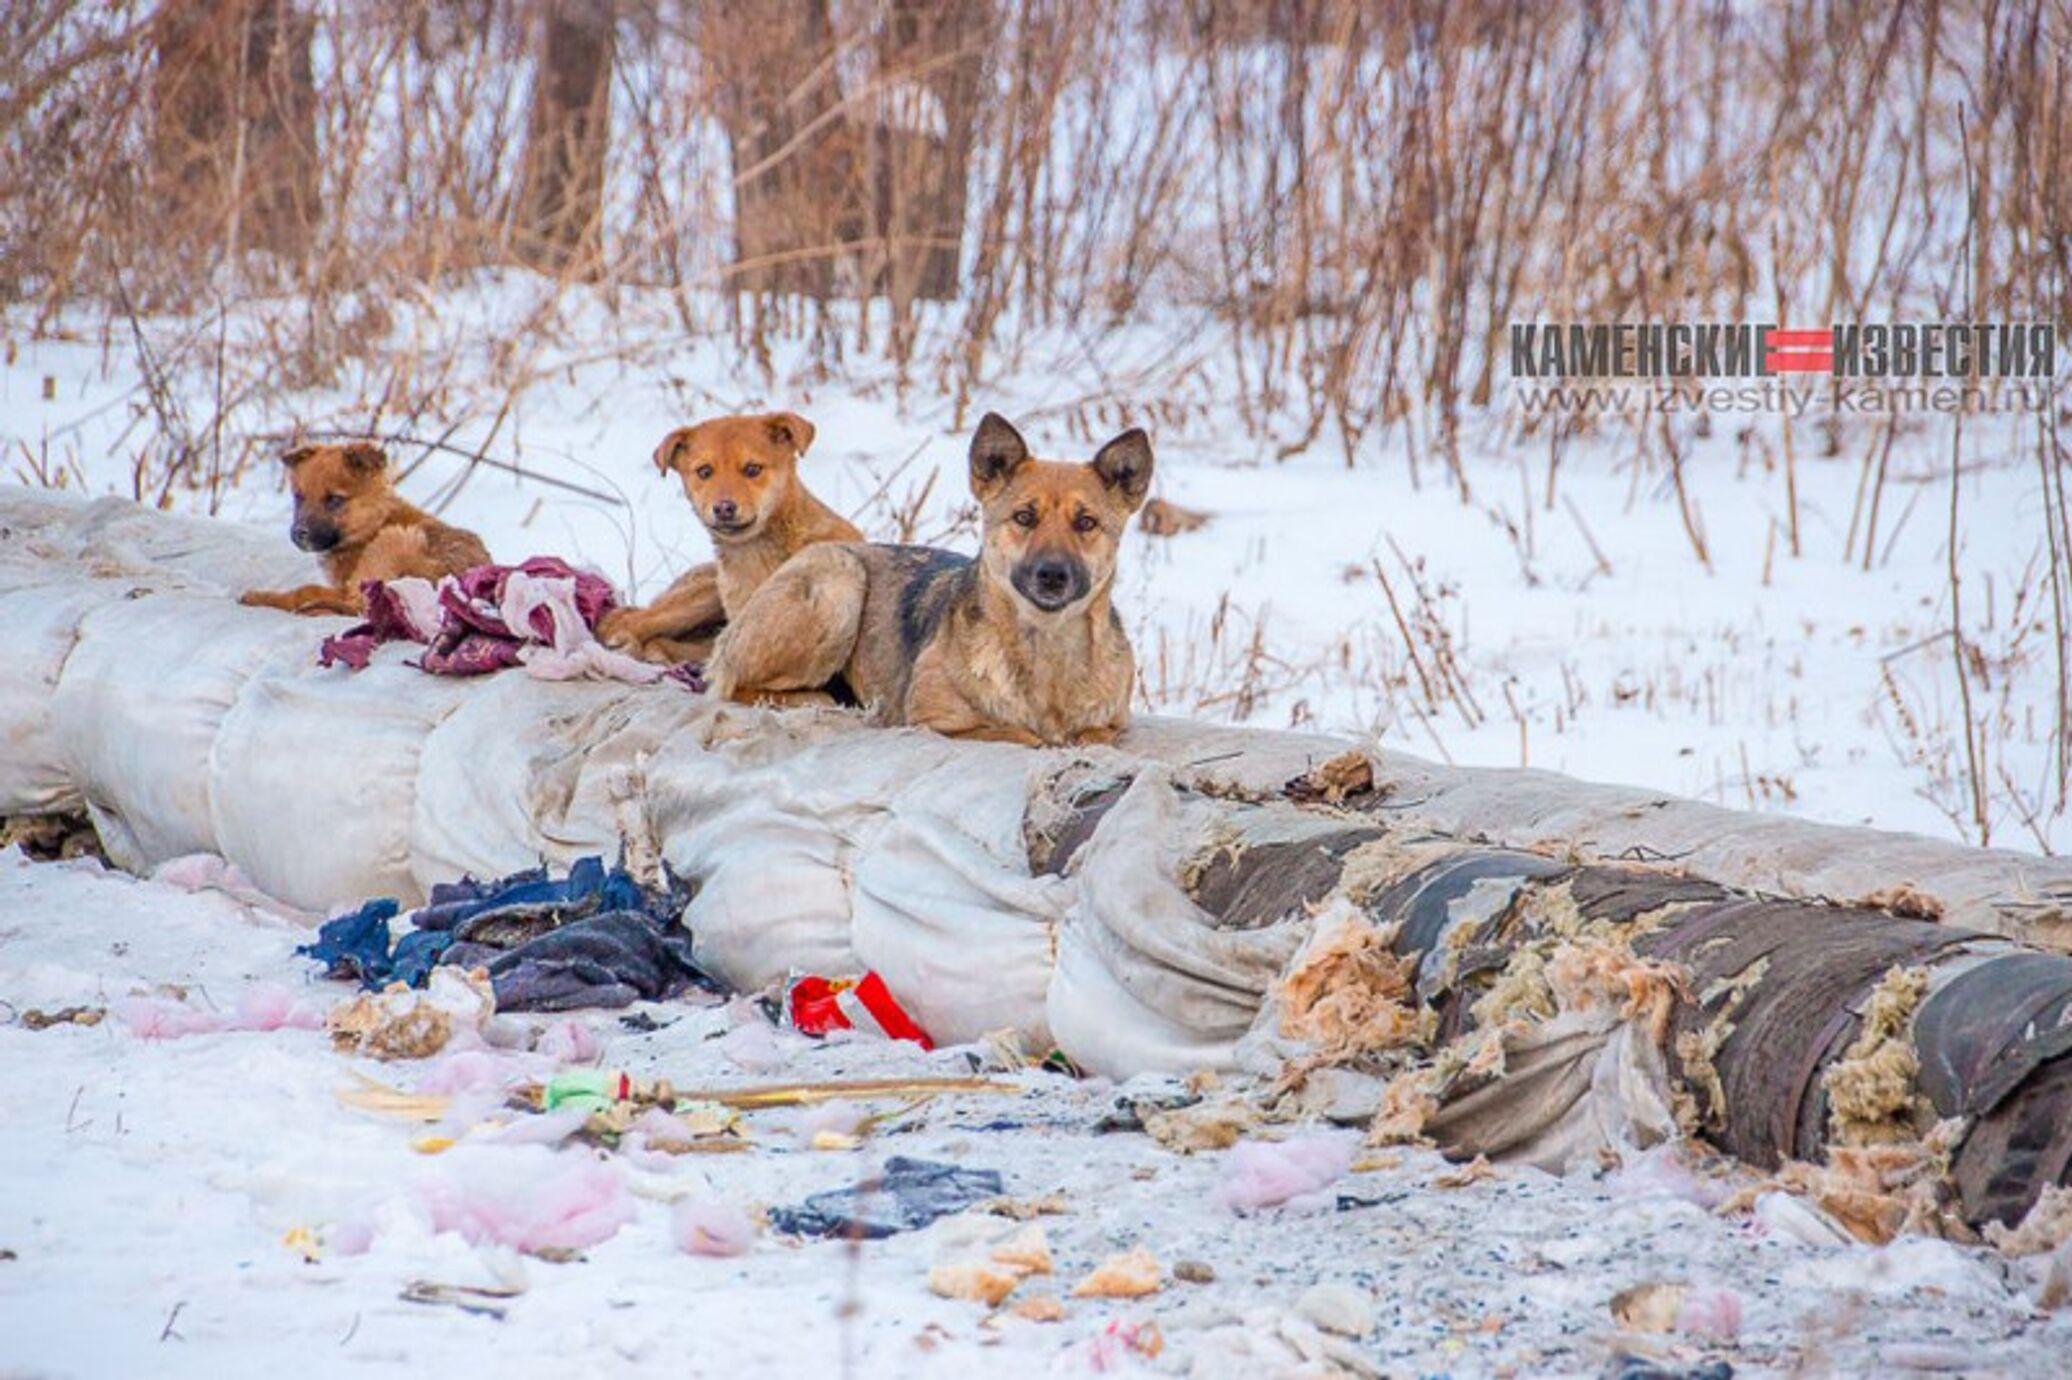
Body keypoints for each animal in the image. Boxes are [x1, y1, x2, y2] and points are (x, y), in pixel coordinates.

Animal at [238, 441, 488, 613]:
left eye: (335, 500)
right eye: (299, 498)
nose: (299, 534)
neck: (374, 523)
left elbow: (305, 591)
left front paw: (260, 596)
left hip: (392, 541)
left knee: (355, 606)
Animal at [596, 408, 861, 663]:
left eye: (753, 469)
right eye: (704, 472)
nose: (724, 508)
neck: (755, 552)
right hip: (703, 595)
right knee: (623, 619)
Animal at [712, 408, 1152, 741]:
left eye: (1086, 523)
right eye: (1025, 517)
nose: (1053, 575)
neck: (1046, 645)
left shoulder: (1111, 726)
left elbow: (1090, 737)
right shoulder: (935, 722)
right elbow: (1021, 734)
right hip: (840, 581)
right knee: (735, 686)